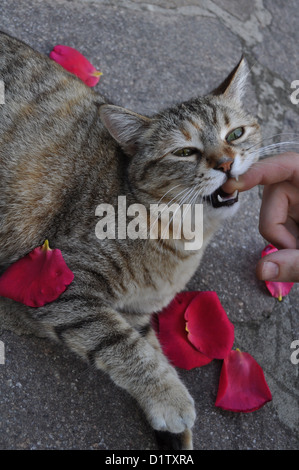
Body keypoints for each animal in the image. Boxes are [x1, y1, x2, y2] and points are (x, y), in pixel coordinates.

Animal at [0, 31, 260, 450]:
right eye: (185, 152)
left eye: (235, 134)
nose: (225, 162)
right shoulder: (56, 280)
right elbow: (122, 345)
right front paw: (170, 399)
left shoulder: (137, 312)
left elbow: (147, 346)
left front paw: (173, 434)